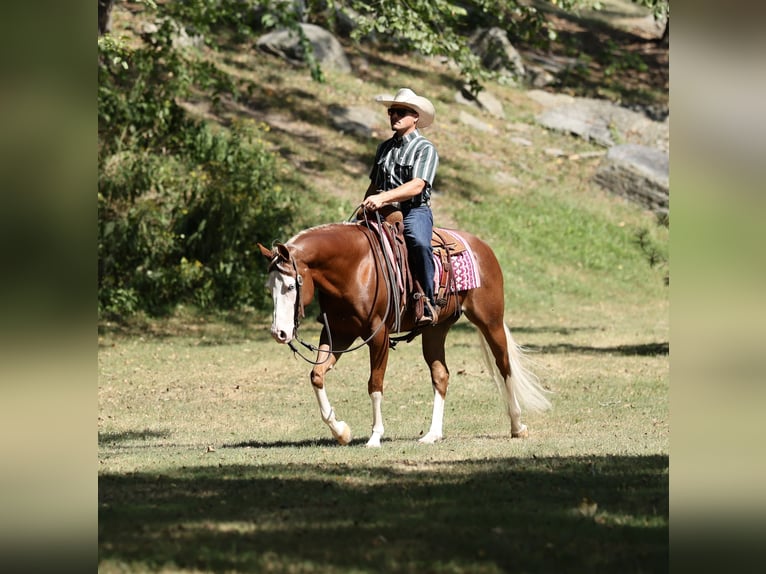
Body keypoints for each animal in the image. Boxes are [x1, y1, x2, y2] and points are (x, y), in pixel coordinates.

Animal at [257, 218, 551, 447]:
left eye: (290, 287)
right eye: (269, 287)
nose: (279, 333)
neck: (355, 268)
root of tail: (482, 246)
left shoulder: (378, 336)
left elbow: (374, 384)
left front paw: (375, 437)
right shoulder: (338, 334)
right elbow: (317, 375)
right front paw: (341, 431)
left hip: (490, 321)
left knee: (504, 366)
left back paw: (517, 426)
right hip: (435, 330)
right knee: (441, 375)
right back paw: (432, 434)